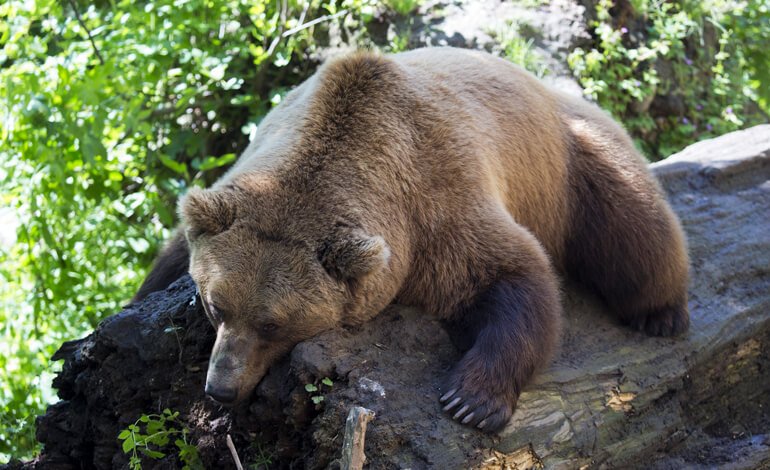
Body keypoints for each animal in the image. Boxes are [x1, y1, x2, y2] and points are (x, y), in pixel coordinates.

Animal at [134, 47, 690, 433]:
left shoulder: (436, 206)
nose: (221, 389)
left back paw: (661, 314)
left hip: (574, 162)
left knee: (636, 231)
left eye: (274, 323)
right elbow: (168, 260)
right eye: (215, 305)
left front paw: (471, 400)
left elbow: (514, 274)